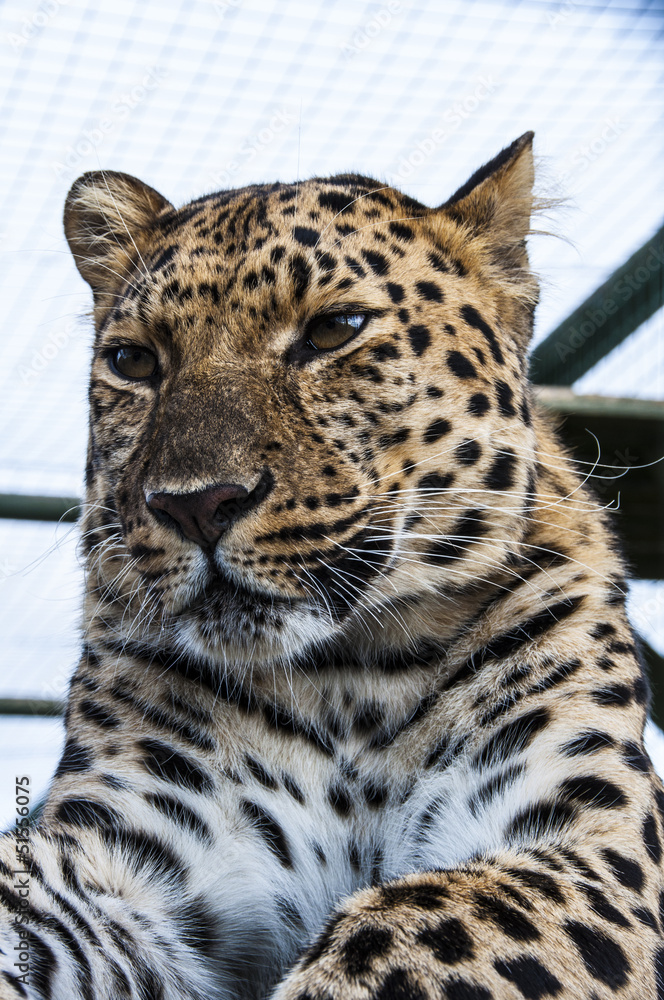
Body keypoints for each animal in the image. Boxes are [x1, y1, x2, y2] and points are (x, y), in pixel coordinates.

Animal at [1, 130, 663, 1000]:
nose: (194, 504)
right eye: (134, 361)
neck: (347, 681)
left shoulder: (589, 848)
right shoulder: (131, 862)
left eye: (334, 330)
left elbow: (419, 921)